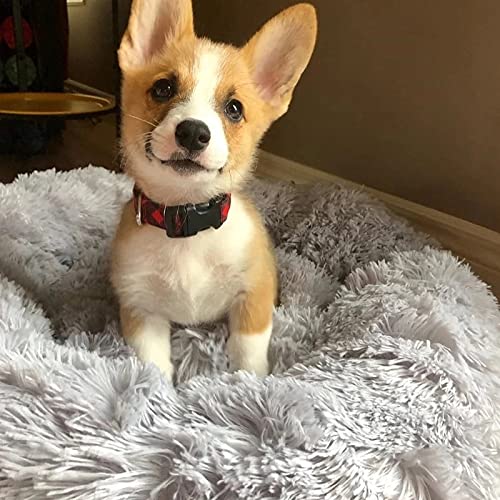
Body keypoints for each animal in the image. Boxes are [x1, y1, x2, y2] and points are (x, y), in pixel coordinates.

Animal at [112, 0, 316, 380]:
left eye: (234, 109)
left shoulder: (253, 295)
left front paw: (249, 384)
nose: (193, 132)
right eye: (163, 88)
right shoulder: (142, 310)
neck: (186, 225)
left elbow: (247, 350)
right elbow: (153, 365)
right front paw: (156, 390)